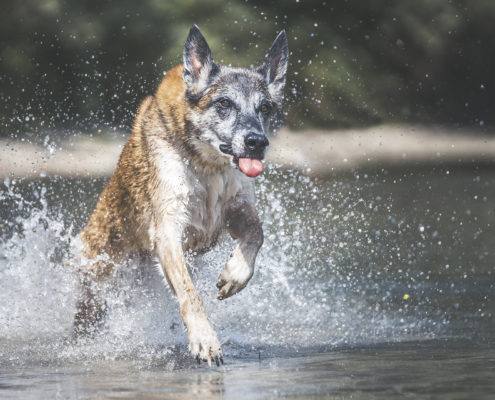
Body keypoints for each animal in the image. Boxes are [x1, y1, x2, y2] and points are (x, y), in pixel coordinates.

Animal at [75, 25, 288, 366]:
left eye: (265, 108)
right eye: (224, 103)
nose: (257, 142)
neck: (207, 164)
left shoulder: (237, 207)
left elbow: (257, 232)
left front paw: (234, 275)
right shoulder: (168, 228)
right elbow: (190, 293)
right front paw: (205, 339)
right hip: (99, 282)